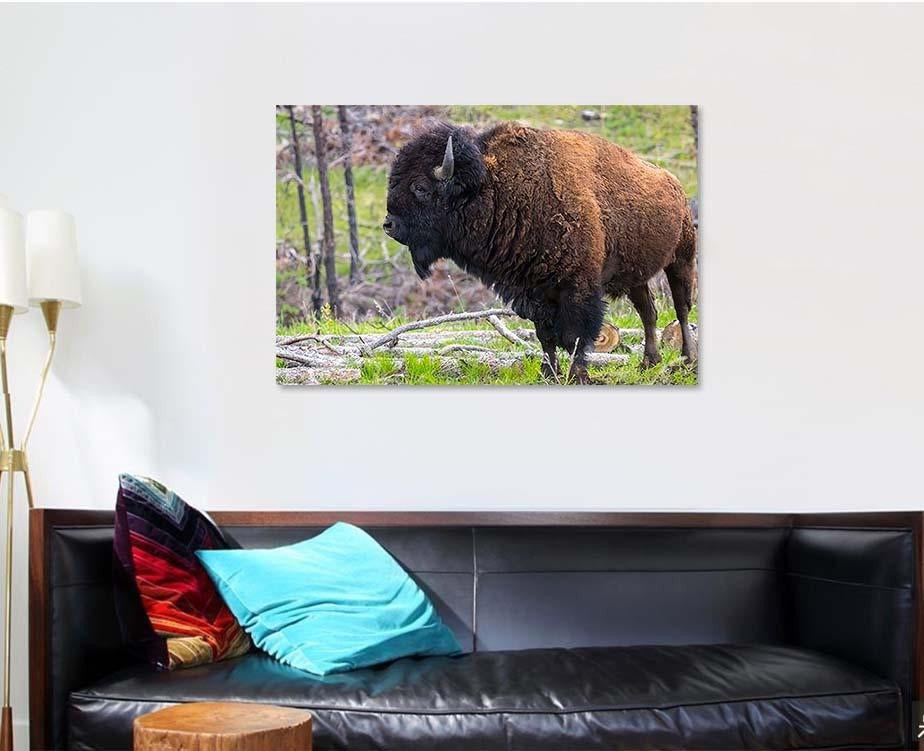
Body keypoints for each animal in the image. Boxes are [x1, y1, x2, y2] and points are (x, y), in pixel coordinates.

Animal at [383, 122, 697, 382]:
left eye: (420, 187)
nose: (388, 225)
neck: (497, 189)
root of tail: (674, 183)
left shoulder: (578, 289)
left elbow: (574, 336)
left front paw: (577, 376)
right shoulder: (532, 289)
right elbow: (545, 335)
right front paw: (549, 373)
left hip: (681, 259)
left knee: (681, 309)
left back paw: (687, 358)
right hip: (636, 277)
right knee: (649, 312)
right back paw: (649, 362)